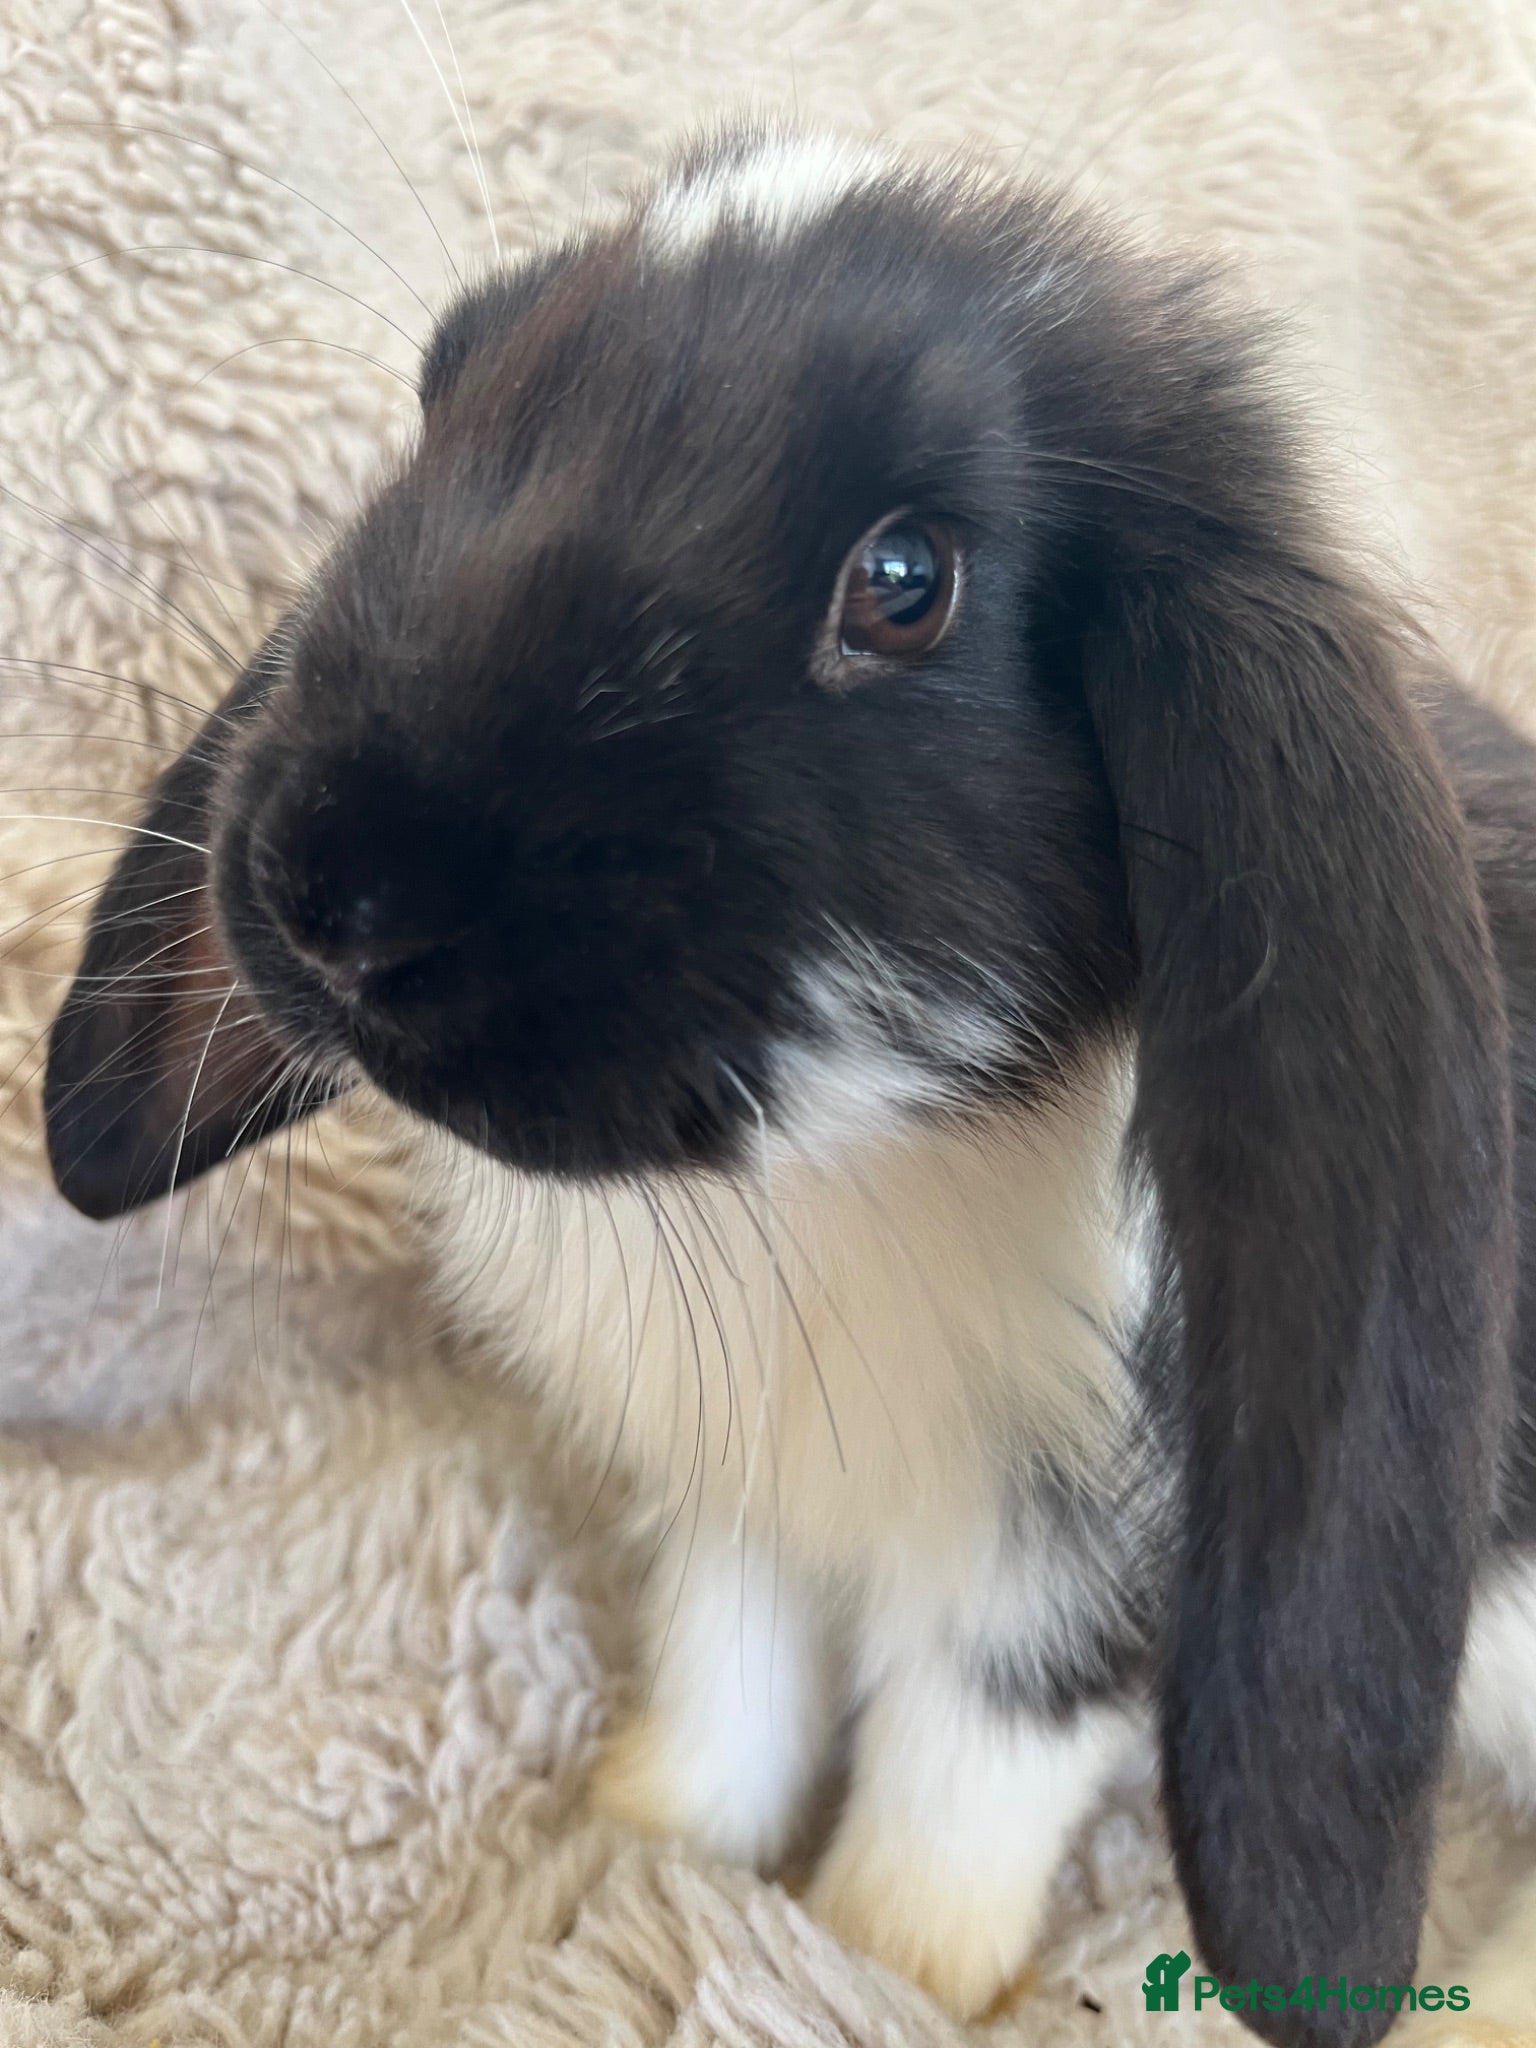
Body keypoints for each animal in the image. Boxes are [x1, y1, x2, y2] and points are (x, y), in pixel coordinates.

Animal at [38, 122, 1536, 2044]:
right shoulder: (735, 1496)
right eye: (449, 390)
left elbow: (962, 1769)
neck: (831, 1166)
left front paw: (886, 1957)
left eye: (904, 582)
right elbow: (732, 1672)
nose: (330, 896)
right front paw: (651, 1837)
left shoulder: (1074, 1570)